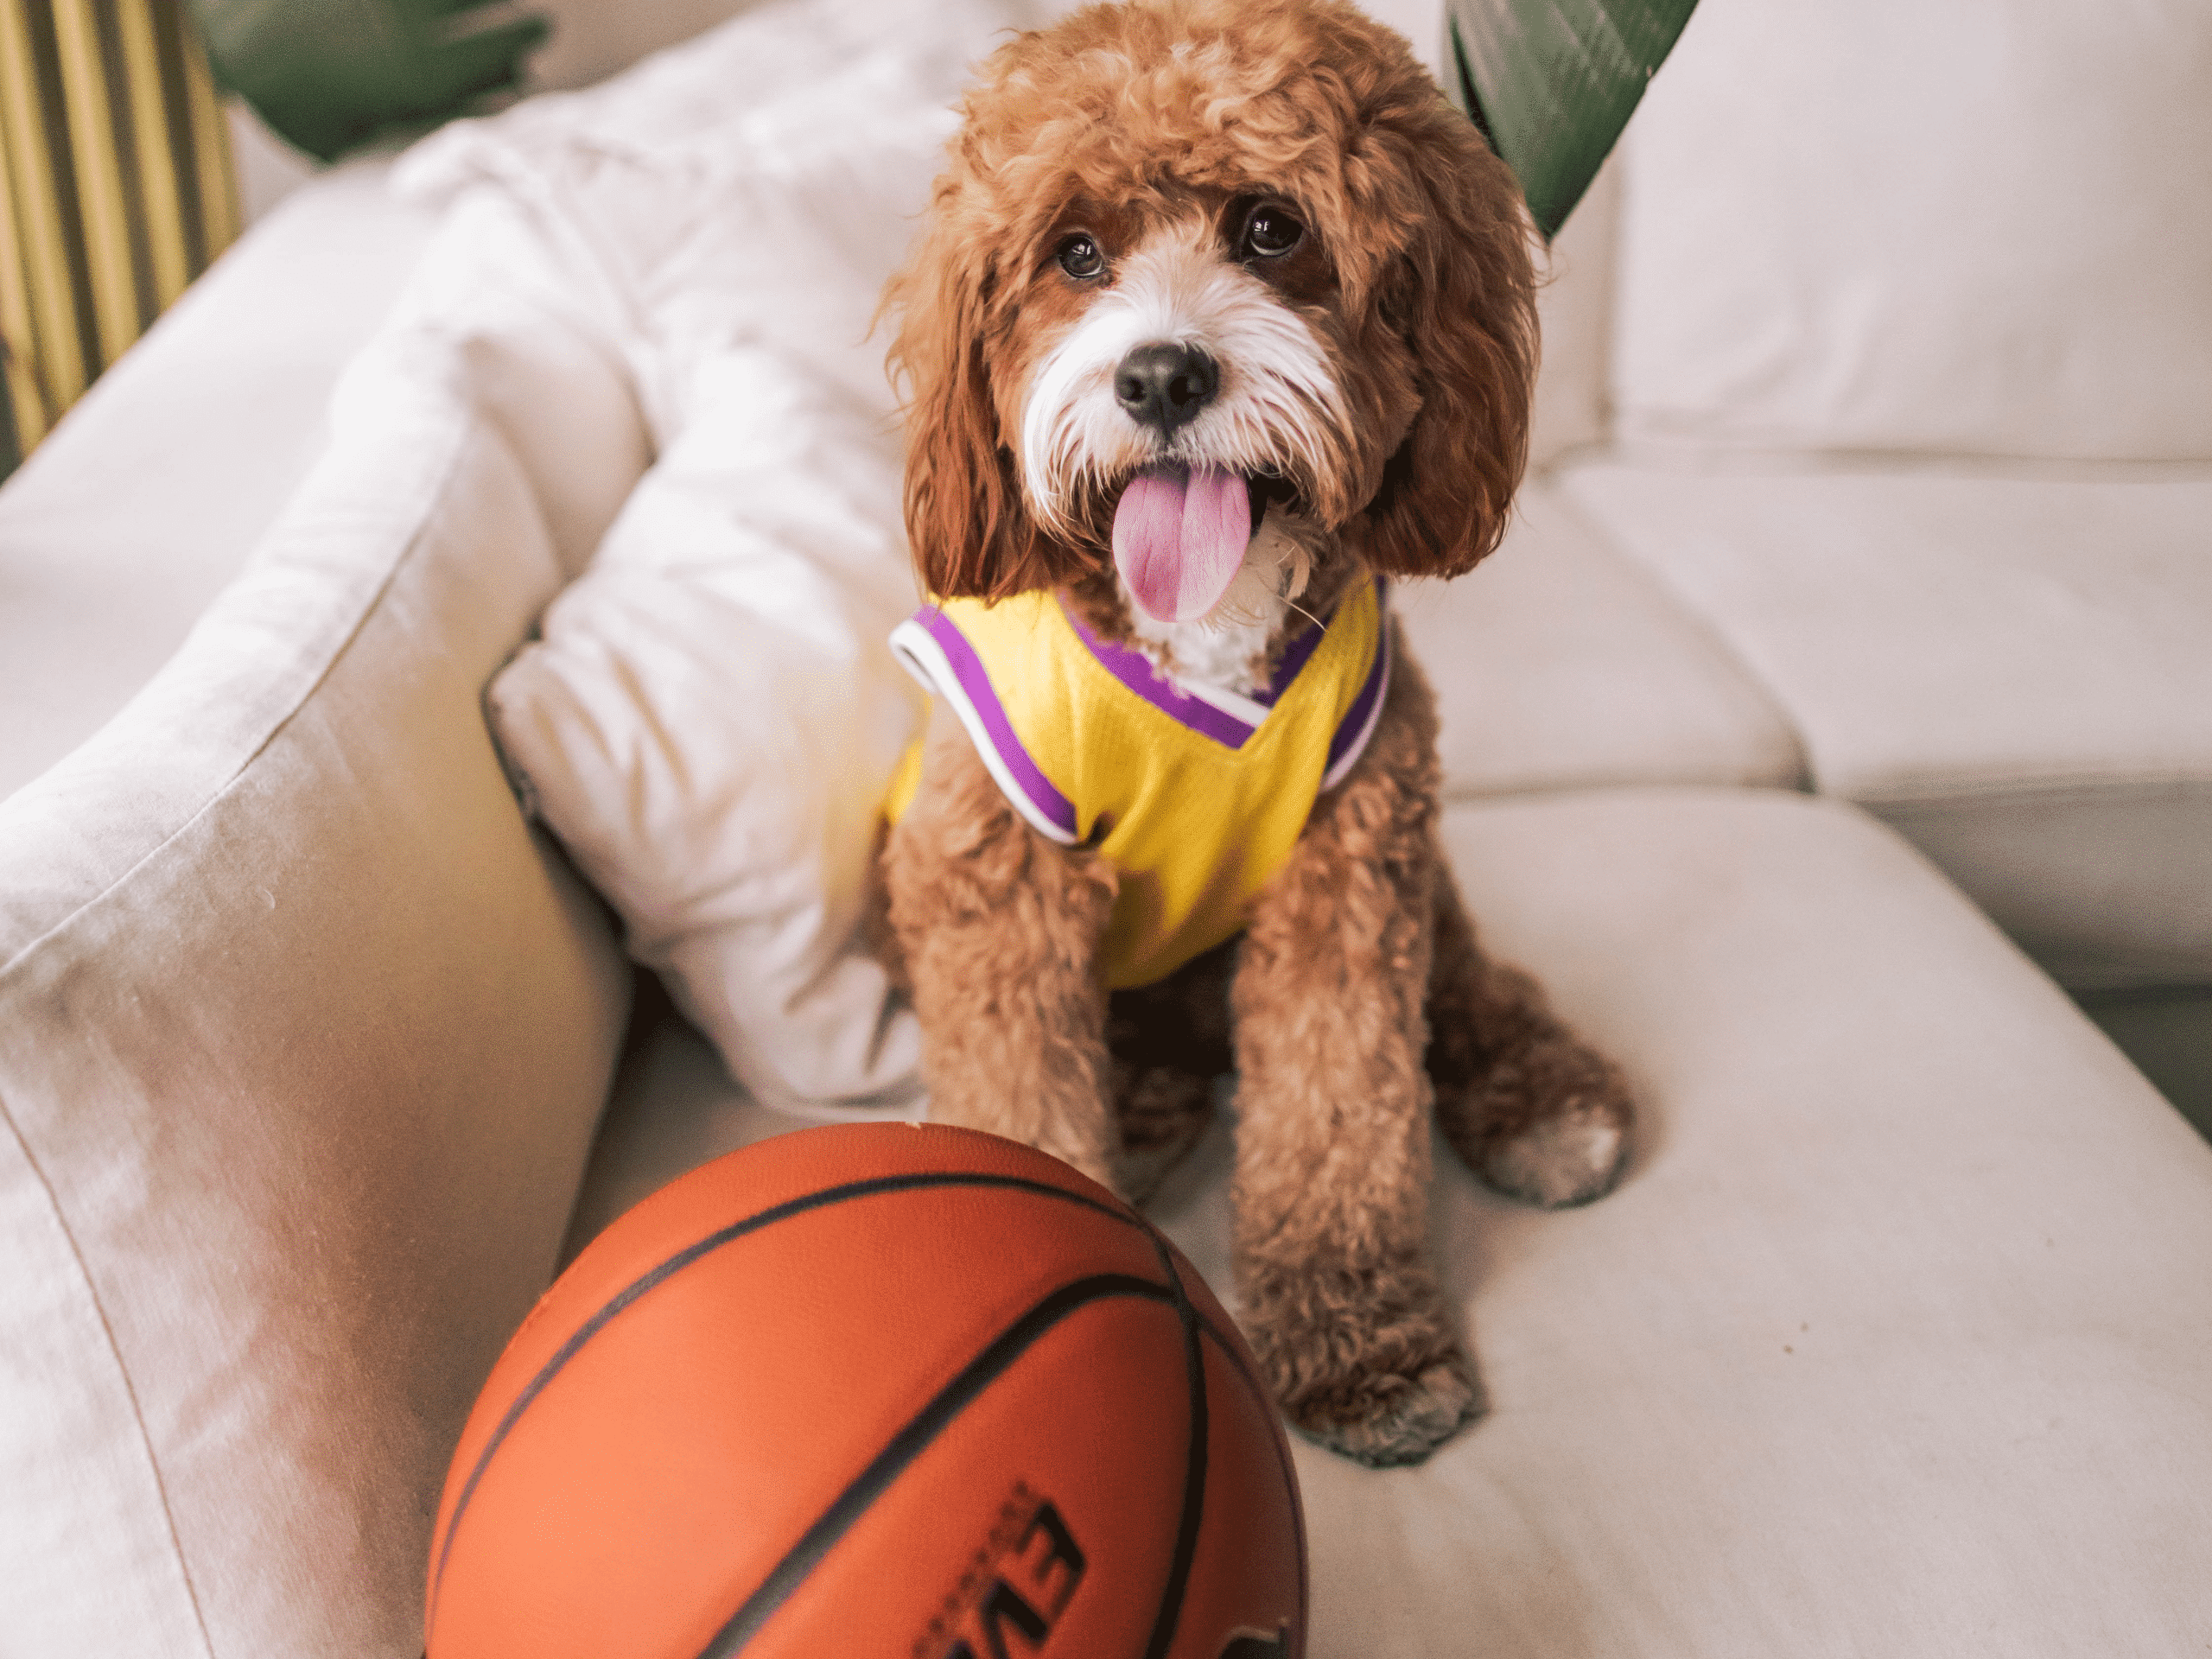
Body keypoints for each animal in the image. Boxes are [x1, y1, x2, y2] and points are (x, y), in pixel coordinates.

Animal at [875, 0, 1628, 1468]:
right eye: (1077, 252)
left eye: (1272, 229)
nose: (1163, 375)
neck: (1206, 619)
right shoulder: (996, 884)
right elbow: (1020, 1090)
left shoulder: (1351, 868)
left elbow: (1340, 1109)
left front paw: (1362, 1352)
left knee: (1468, 987)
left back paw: (1543, 1100)